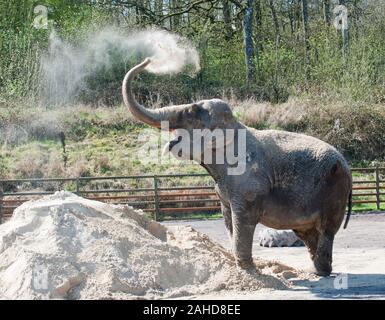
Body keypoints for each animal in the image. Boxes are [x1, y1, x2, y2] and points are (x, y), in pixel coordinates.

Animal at [122, 58, 352, 276]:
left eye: (191, 111)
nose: (148, 60)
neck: (234, 126)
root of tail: (347, 166)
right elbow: (228, 219)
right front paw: (242, 269)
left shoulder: (248, 181)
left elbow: (243, 218)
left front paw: (250, 271)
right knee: (307, 233)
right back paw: (314, 271)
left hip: (334, 192)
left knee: (326, 229)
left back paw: (320, 271)